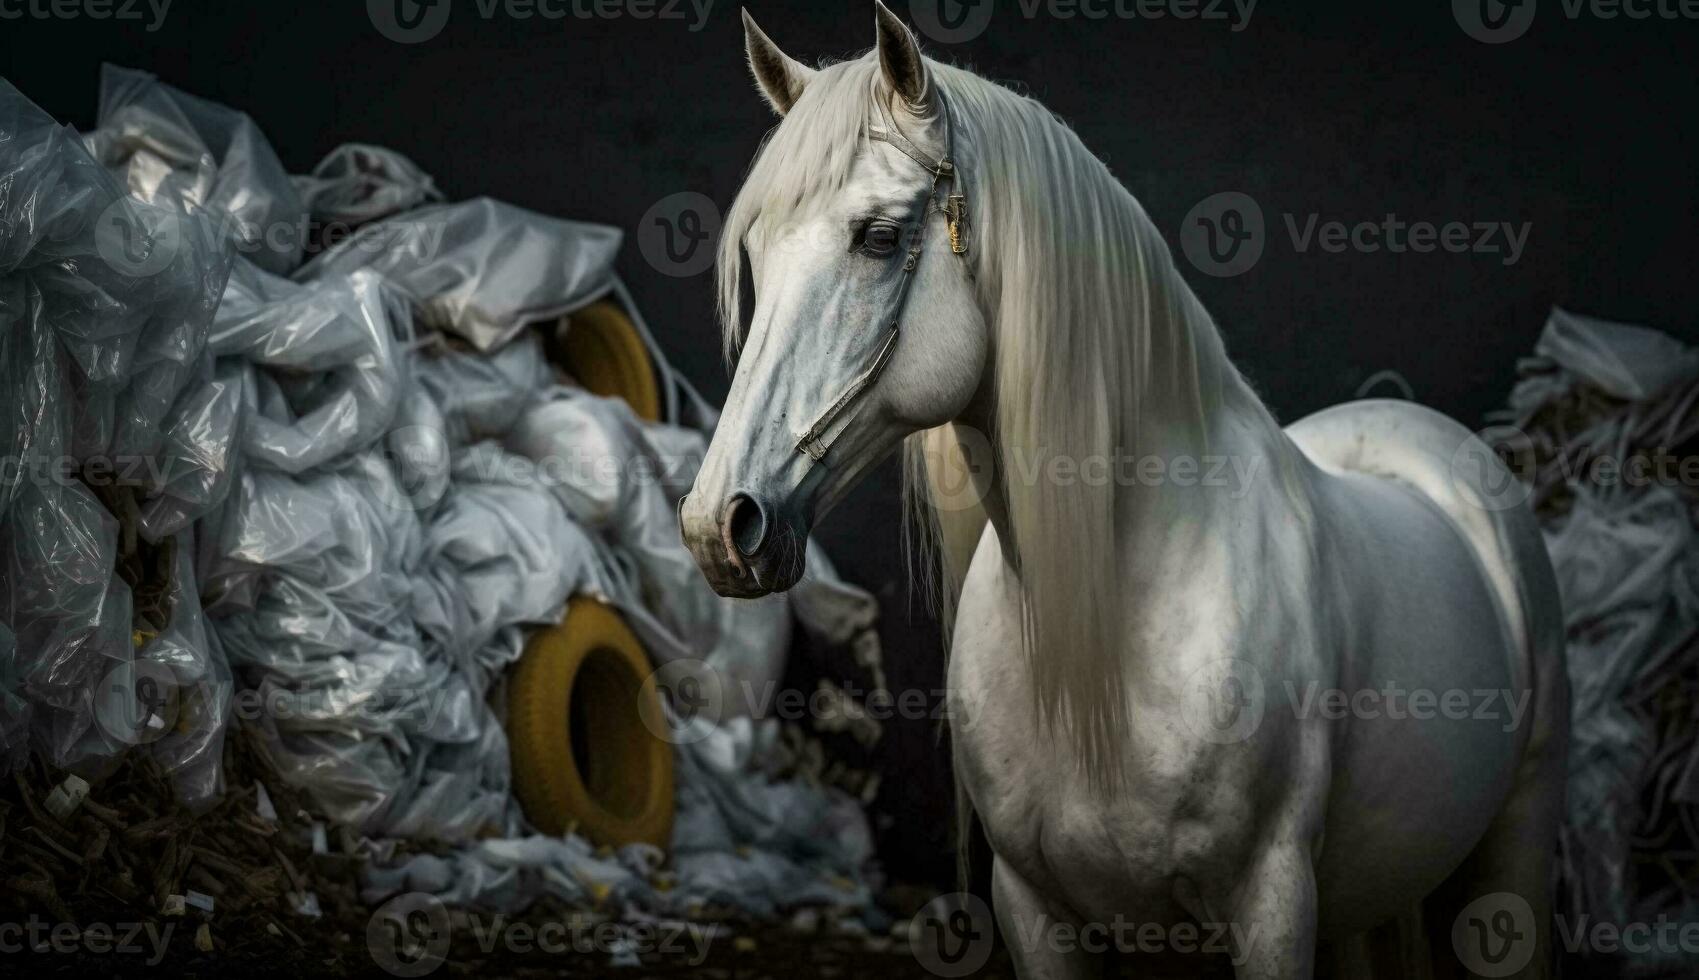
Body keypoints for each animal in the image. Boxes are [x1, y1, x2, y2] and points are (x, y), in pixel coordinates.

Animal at [676, 5, 1563, 971]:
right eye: (754, 252)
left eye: (877, 236)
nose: (719, 524)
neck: (1122, 603)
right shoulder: (1033, 909)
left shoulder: (1271, 906)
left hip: (1513, 848)